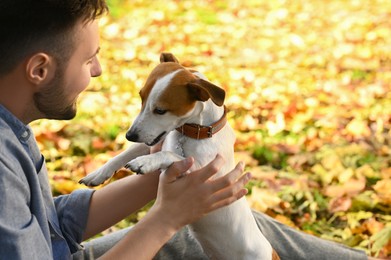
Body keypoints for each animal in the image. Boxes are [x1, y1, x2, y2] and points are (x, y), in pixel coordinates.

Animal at [80, 53, 278, 260]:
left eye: (160, 110)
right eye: (141, 98)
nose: (129, 135)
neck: (193, 132)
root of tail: (271, 252)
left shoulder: (202, 172)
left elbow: (168, 154)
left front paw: (145, 162)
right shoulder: (153, 142)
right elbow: (126, 153)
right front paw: (98, 174)